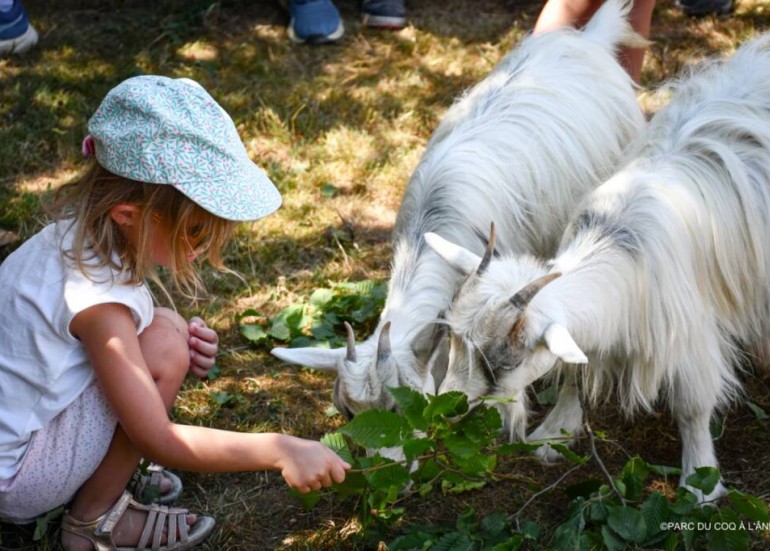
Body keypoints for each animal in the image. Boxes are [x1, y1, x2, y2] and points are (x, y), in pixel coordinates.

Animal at [426, 32, 770, 502]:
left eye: (505, 362)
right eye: (452, 336)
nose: (446, 409)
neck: (618, 242)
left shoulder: (689, 339)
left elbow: (692, 408)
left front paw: (699, 482)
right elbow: (575, 372)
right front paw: (553, 433)